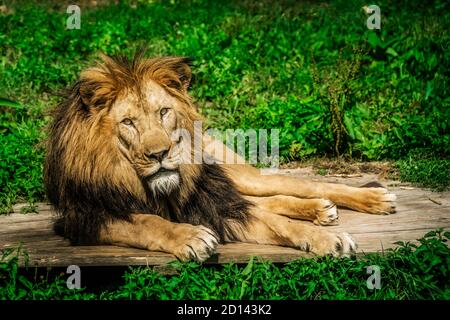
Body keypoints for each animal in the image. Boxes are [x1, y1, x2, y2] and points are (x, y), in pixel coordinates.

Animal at [44, 53, 396, 262]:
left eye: (163, 112)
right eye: (128, 122)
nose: (160, 154)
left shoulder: (217, 203)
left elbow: (279, 223)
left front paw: (328, 240)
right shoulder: (84, 217)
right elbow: (146, 222)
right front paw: (190, 236)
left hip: (236, 174)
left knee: (295, 185)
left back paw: (374, 199)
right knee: (271, 198)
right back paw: (320, 209)